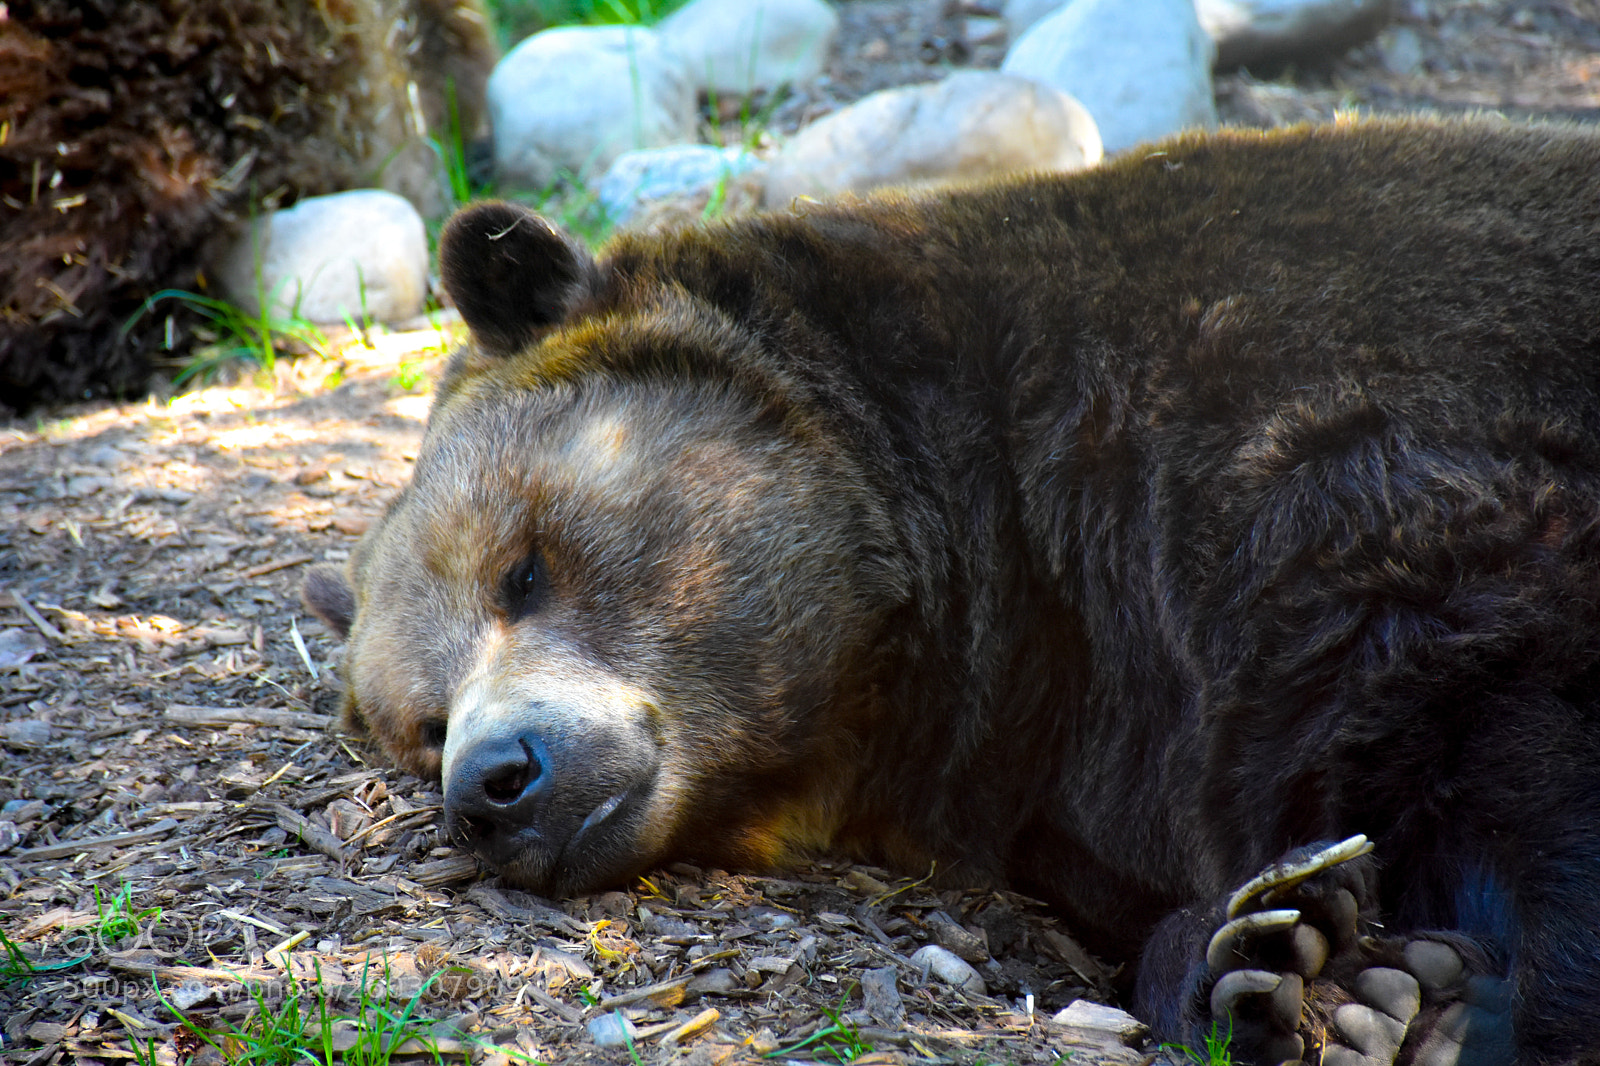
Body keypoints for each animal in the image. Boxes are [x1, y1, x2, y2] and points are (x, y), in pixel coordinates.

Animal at [303, 115, 1600, 1064]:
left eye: (522, 565)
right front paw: (1303, 962)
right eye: (425, 725)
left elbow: (1508, 721)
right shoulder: (1097, 749)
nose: (493, 783)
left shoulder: (1332, 452)